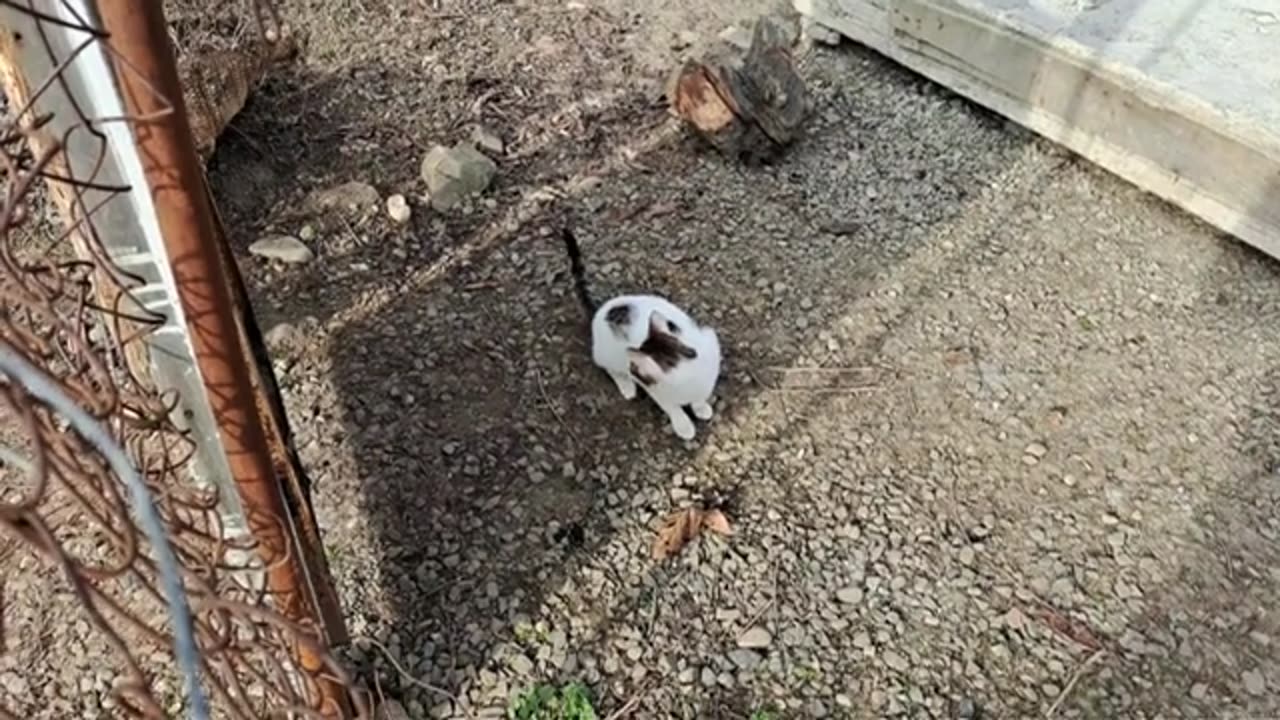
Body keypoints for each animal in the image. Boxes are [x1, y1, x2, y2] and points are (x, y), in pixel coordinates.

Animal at [560, 226, 721, 438]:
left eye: (635, 367)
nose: (630, 371)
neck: (689, 375)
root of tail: (600, 310)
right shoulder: (657, 390)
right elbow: (672, 407)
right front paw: (684, 425)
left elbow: (700, 396)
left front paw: (700, 407)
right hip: (606, 354)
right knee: (609, 368)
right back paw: (627, 386)